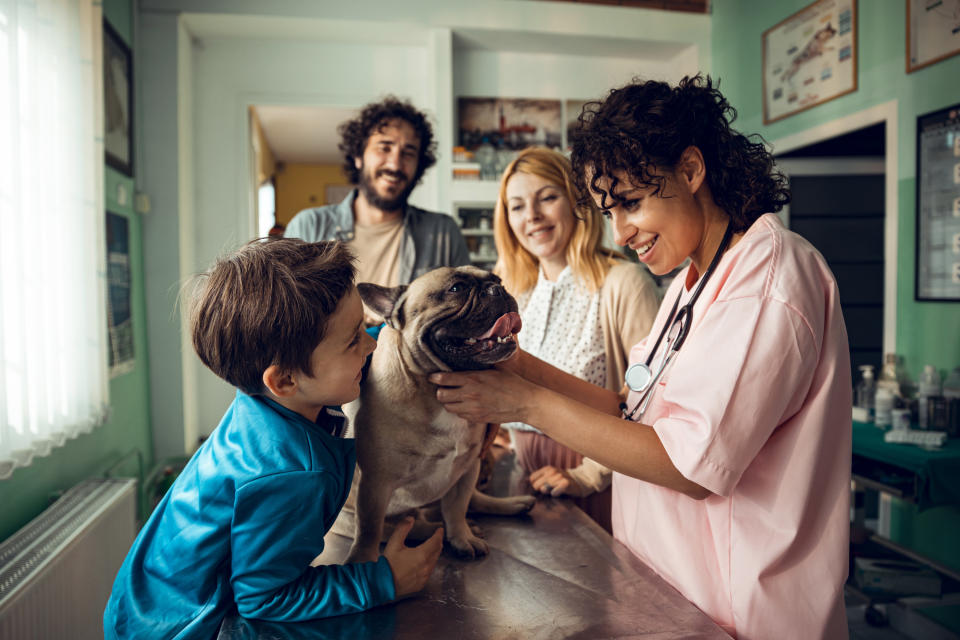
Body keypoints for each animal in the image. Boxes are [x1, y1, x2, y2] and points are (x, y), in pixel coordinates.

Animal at [344, 264, 540, 560]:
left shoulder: (468, 467)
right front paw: (362, 560)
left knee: (472, 501)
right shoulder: (374, 483)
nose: (498, 289)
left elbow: (457, 507)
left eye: (499, 280)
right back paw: (432, 529)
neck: (435, 392)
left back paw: (510, 505)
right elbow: (369, 529)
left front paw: (462, 537)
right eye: (456, 289)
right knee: (398, 527)